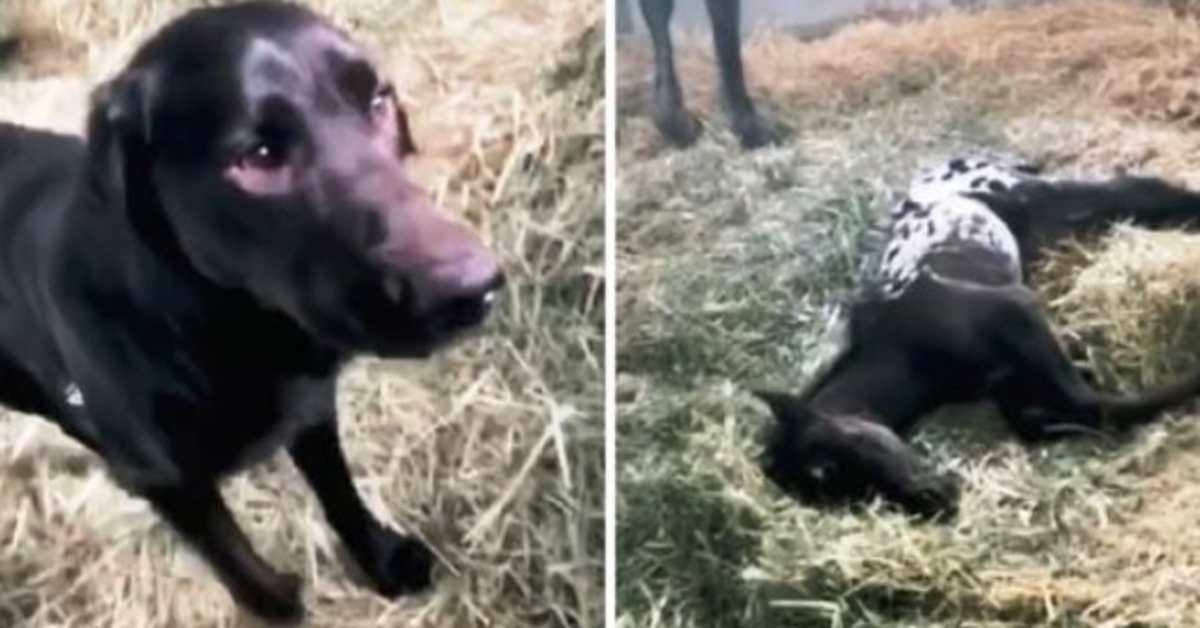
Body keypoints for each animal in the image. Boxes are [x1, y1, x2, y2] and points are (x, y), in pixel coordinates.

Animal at [0, 1, 501, 624]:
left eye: (378, 101)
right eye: (258, 157)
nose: (472, 288)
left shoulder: (309, 410)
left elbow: (339, 492)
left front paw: (380, 557)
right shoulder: (173, 488)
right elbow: (242, 568)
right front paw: (281, 605)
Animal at [753, 157, 1200, 521]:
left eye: (828, 467)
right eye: (844, 505)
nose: (936, 504)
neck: (905, 351)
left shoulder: (1015, 308)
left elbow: (1092, 403)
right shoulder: (1005, 382)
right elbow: (1038, 418)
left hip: (1025, 192)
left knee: (1133, 188)